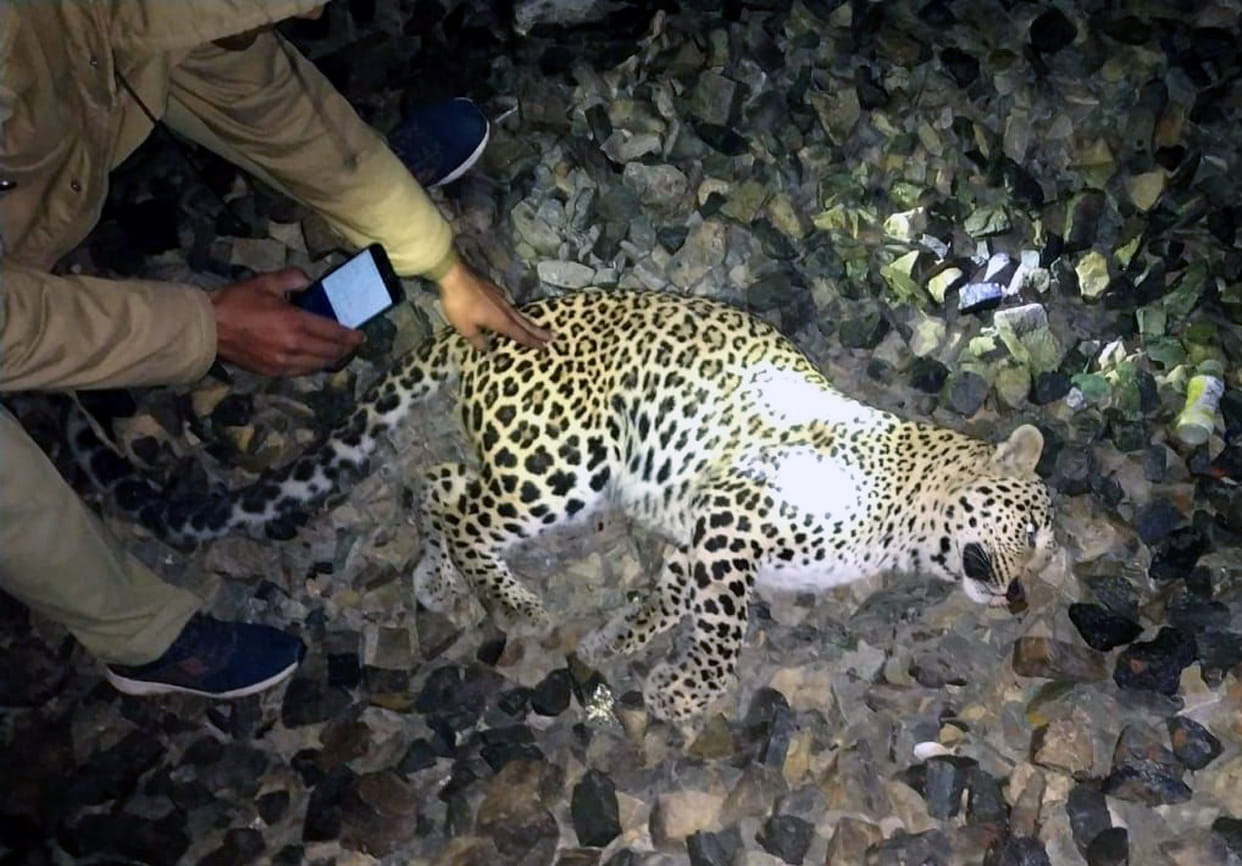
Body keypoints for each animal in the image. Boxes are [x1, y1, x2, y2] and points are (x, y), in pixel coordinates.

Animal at [74, 289, 1057, 722]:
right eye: (1029, 530)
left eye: (1045, 556)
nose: (1018, 596)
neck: (908, 518)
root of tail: (485, 328)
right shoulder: (735, 519)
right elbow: (725, 629)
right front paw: (684, 690)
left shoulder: (699, 538)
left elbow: (673, 596)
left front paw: (621, 638)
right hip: (566, 462)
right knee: (465, 507)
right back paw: (511, 599)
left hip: (522, 465)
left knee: (438, 485)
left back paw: (441, 583)